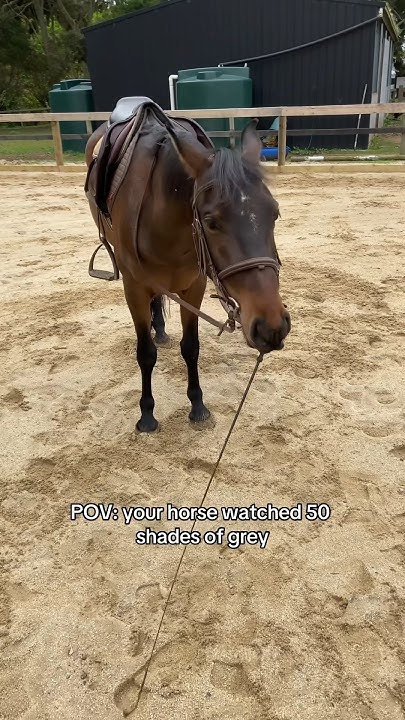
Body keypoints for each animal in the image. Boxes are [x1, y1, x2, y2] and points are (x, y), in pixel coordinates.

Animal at [85, 101, 291, 433]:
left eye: (274, 214)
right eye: (211, 221)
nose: (272, 326)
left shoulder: (194, 286)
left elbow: (191, 346)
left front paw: (198, 405)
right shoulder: (134, 287)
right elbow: (145, 353)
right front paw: (147, 414)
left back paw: (160, 329)